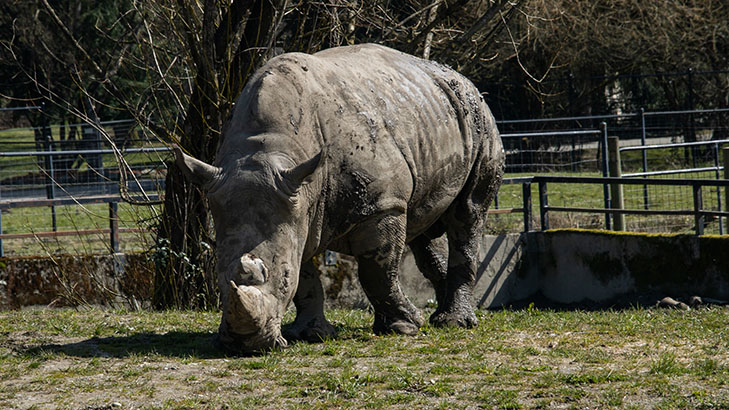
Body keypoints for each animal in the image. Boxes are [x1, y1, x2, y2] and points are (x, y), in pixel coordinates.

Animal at [175, 44, 504, 353]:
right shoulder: (296, 205)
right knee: (422, 225)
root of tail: (462, 79)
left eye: (283, 277)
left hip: (482, 121)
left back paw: (454, 323)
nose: (245, 344)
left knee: (468, 214)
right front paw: (310, 334)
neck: (270, 148)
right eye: (219, 278)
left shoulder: (381, 205)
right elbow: (307, 280)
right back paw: (443, 314)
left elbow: (377, 271)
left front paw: (405, 327)